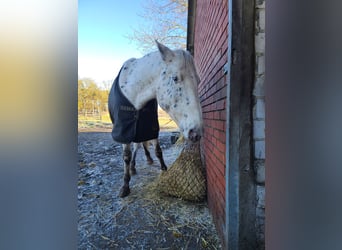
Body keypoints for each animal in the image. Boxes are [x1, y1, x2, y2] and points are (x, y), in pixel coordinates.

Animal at [108, 40, 202, 197]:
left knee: (140, 144)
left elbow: (157, 149)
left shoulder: (151, 126)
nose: (196, 133)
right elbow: (126, 156)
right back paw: (133, 167)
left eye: (198, 81)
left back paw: (145, 160)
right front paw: (125, 186)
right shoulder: (124, 130)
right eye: (175, 78)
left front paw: (164, 169)